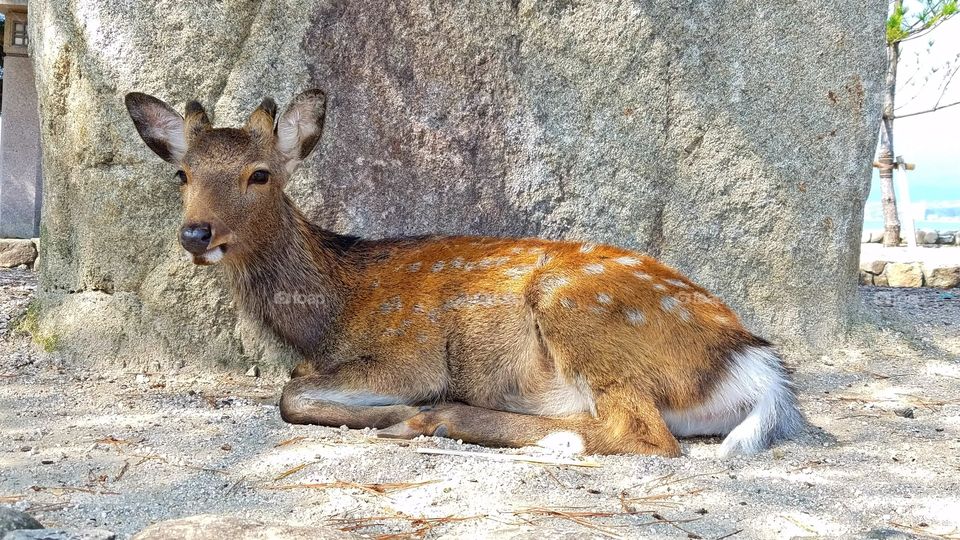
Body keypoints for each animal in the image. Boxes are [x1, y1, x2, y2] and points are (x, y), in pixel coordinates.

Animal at [124, 89, 804, 457]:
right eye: (182, 174)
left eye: (259, 174)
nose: (196, 234)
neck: (331, 313)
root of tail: (753, 365)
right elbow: (294, 385)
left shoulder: (409, 352)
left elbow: (290, 398)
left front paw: (392, 411)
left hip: (580, 311)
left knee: (639, 432)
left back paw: (439, 418)